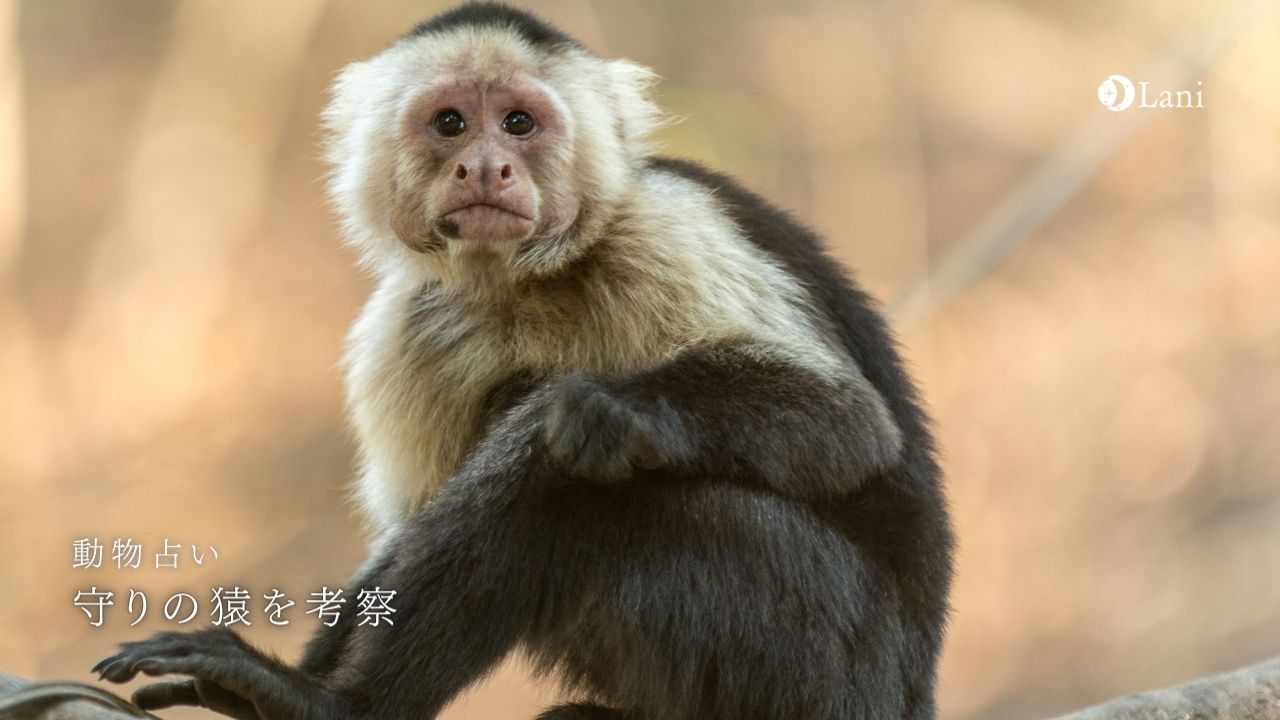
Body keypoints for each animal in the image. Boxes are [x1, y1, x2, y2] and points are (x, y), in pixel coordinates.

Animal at [92, 4, 954, 719]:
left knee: (589, 475)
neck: (522, 281)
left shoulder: (664, 229)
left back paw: (333, 705)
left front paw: (612, 409)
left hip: (836, 668)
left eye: (518, 123)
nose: (484, 167)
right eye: (449, 123)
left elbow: (848, 424)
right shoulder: (408, 325)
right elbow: (408, 531)